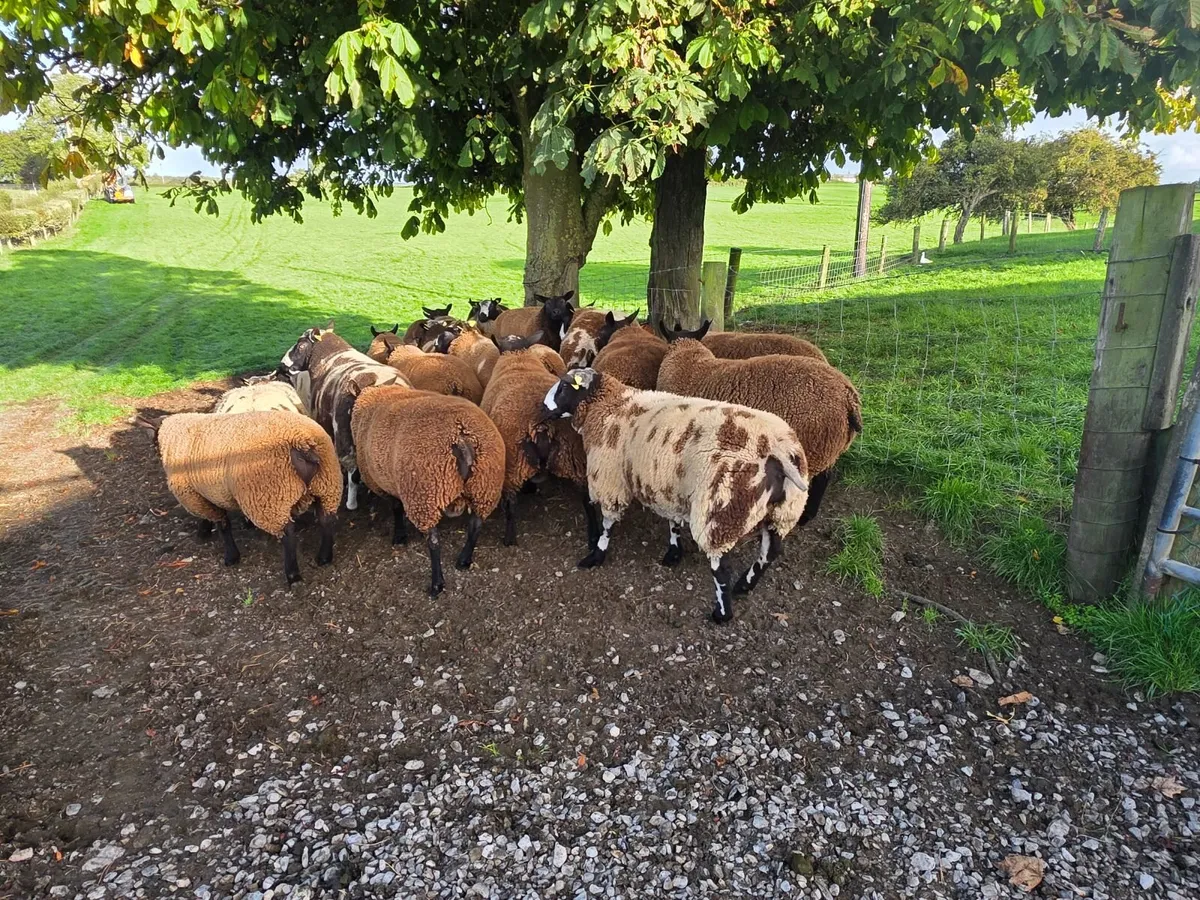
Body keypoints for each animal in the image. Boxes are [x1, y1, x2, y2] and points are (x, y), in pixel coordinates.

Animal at [134, 410, 341, 585]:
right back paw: (323, 557)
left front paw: (228, 554)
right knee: (326, 520)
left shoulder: (192, 493)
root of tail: (302, 442)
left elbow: (222, 524)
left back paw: (293, 575)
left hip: (267, 496)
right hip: (327, 485)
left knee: (288, 534)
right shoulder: (205, 492)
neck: (176, 438)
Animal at [351, 383, 505, 596]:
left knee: (433, 541)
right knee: (476, 525)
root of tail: (462, 437)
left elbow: (396, 508)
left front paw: (399, 536)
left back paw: (437, 584)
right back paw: (463, 561)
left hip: (423, 495)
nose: (355, 477)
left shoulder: (385, 483)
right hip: (485, 486)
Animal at [480, 340, 588, 545]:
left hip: (512, 466)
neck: (518, 357)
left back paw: (509, 538)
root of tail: (542, 426)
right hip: (575, 457)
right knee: (588, 498)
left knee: (511, 505)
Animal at [540, 369, 810, 623]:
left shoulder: (610, 480)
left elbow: (607, 525)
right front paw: (673, 552)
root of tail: (777, 452)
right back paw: (745, 584)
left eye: (564, 387)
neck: (611, 404)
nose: (542, 408)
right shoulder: (668, 484)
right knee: (769, 552)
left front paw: (596, 555)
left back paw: (722, 613)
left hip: (719, 513)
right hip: (783, 511)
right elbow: (673, 522)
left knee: (721, 567)